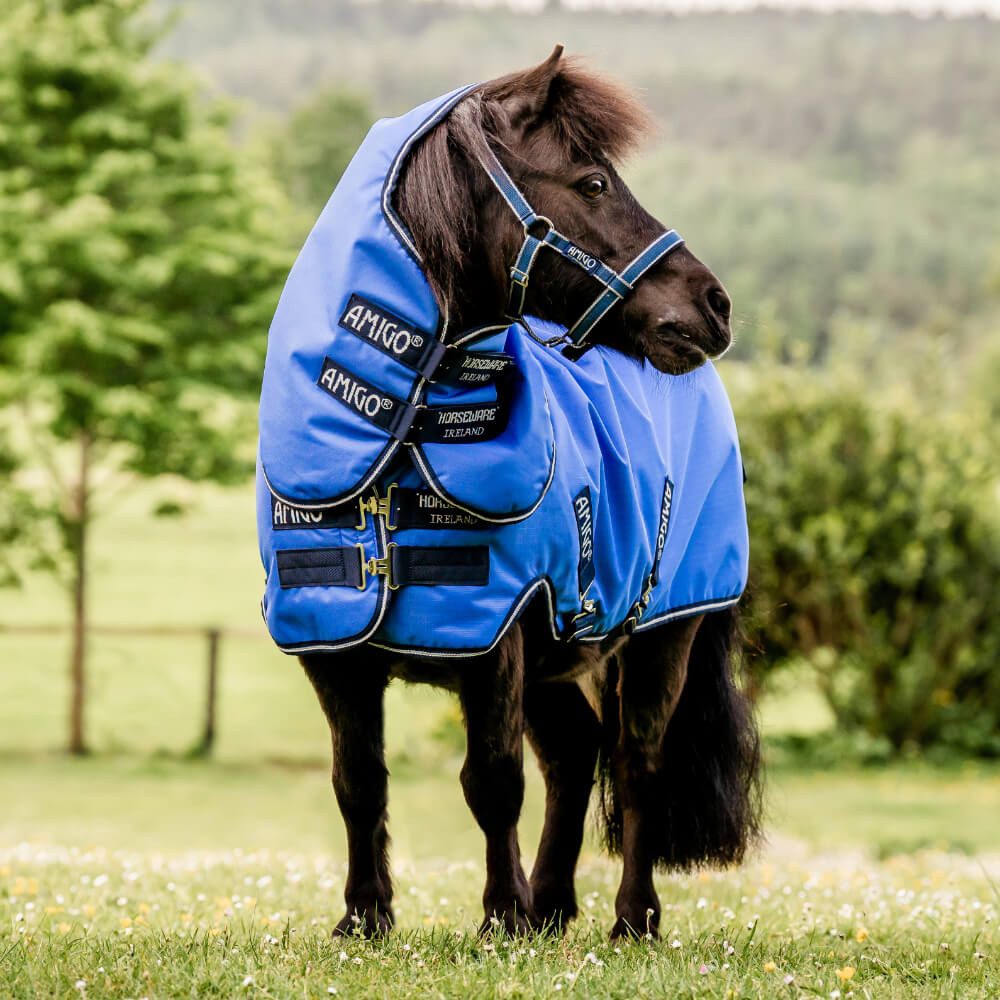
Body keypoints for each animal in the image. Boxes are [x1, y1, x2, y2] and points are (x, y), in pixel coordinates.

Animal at [278, 48, 761, 940]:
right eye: (593, 182)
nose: (713, 304)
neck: (397, 445)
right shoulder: (333, 647)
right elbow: (358, 780)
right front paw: (365, 919)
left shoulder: (492, 635)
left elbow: (492, 780)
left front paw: (498, 917)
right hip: (554, 662)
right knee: (576, 754)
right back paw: (552, 907)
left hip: (663, 634)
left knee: (636, 760)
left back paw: (629, 918)